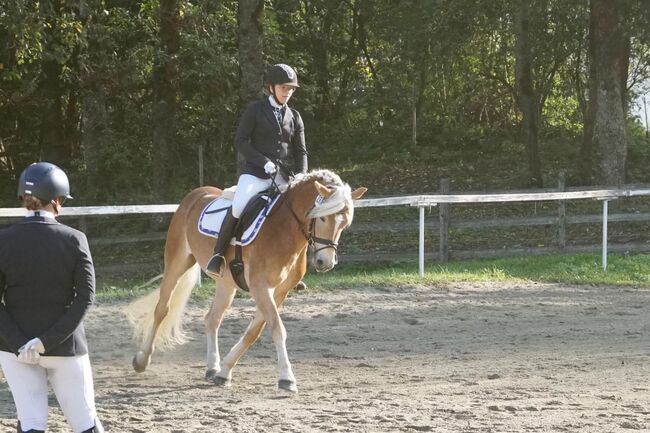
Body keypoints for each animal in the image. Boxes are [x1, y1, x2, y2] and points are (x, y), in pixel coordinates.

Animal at [126, 168, 364, 392]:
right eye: (323, 217)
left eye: (345, 224)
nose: (325, 262)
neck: (285, 229)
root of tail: (196, 193)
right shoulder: (261, 287)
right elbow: (277, 328)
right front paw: (286, 378)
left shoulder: (279, 291)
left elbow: (254, 332)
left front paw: (224, 372)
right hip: (176, 263)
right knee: (162, 309)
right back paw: (142, 360)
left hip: (226, 283)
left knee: (212, 318)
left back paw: (212, 367)